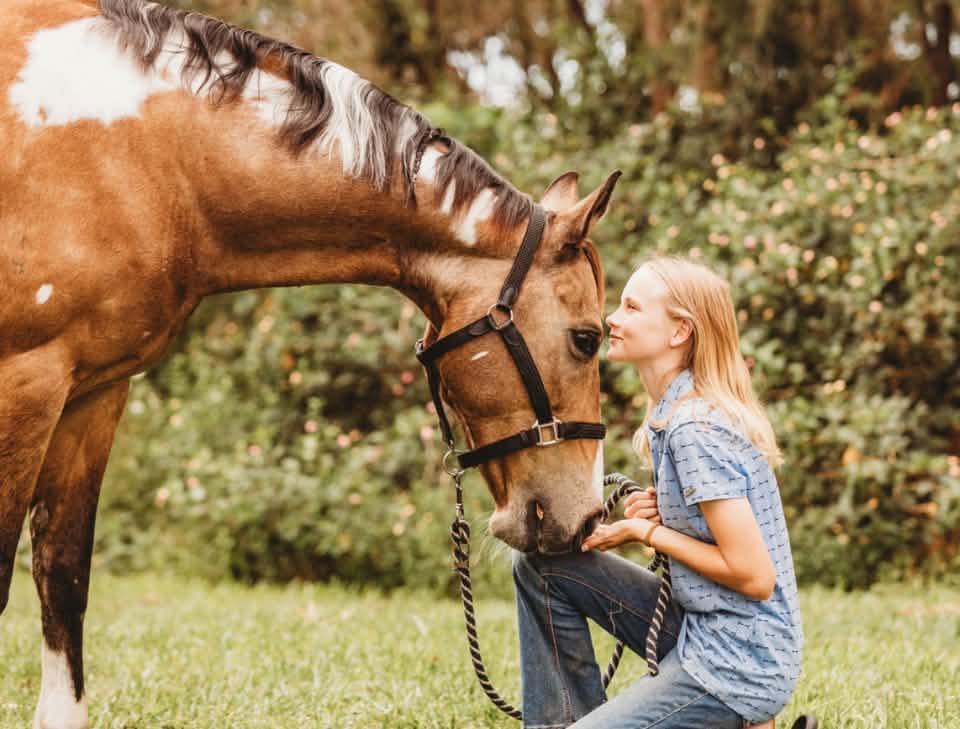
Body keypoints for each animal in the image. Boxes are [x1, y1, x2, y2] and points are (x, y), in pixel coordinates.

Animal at [0, 1, 620, 726]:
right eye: (586, 339)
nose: (587, 517)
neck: (149, 154)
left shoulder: (93, 393)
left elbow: (63, 577)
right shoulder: (26, 382)